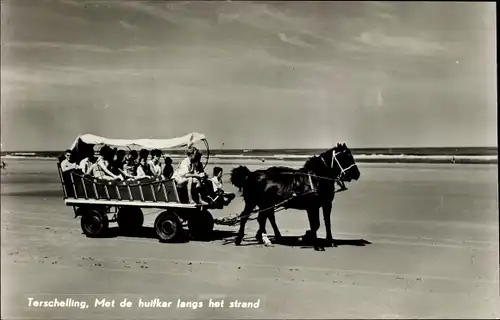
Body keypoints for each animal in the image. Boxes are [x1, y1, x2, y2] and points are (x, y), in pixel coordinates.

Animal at [230, 142, 360, 250]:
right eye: (345, 157)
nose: (357, 174)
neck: (315, 178)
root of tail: (250, 174)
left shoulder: (327, 204)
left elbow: (327, 223)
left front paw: (329, 241)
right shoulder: (312, 207)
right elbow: (315, 224)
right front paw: (314, 243)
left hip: (266, 204)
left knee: (265, 218)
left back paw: (269, 238)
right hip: (254, 203)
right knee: (248, 217)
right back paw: (246, 239)